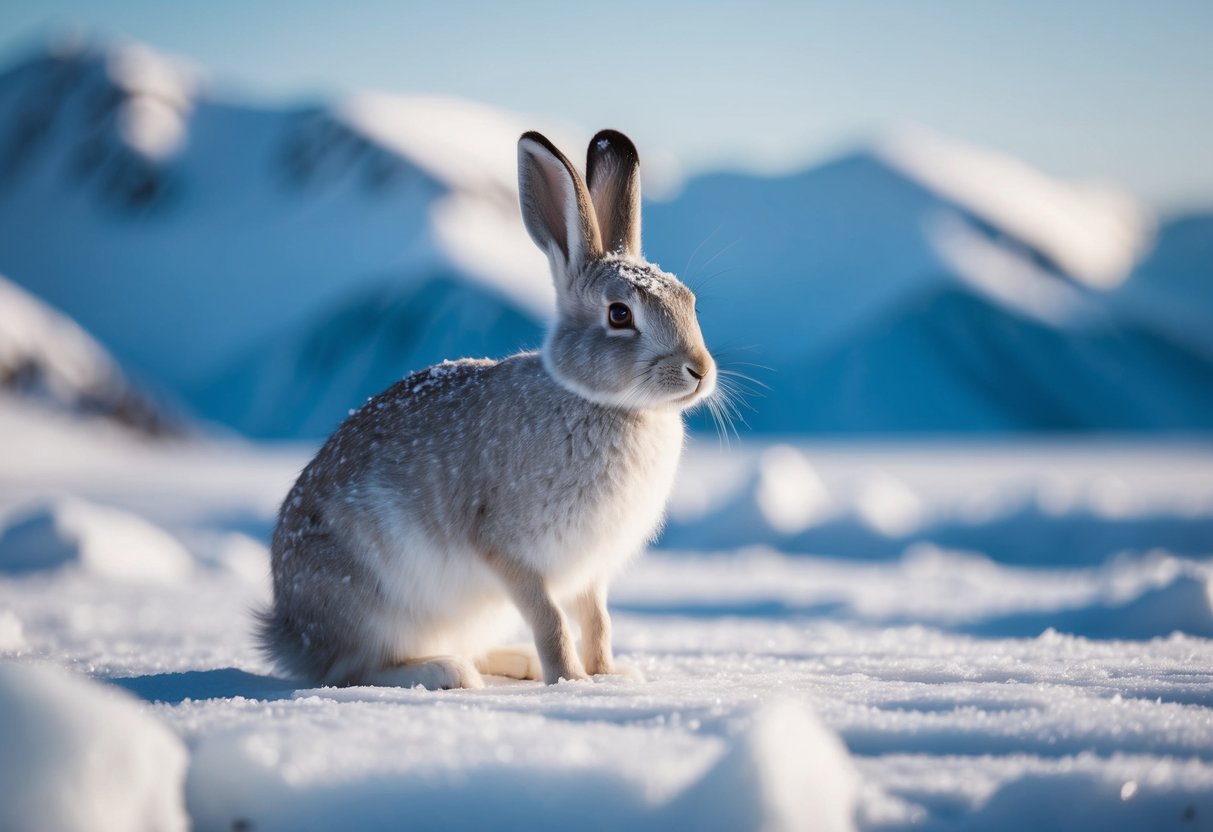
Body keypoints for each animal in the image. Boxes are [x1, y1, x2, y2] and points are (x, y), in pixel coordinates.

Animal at [256, 129, 715, 689]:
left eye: (689, 301)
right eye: (620, 315)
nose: (700, 370)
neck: (601, 402)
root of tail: (288, 631)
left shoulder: (589, 573)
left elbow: (597, 620)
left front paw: (609, 677)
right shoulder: (510, 553)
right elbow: (551, 619)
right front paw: (570, 681)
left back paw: (512, 662)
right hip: (373, 603)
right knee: (352, 669)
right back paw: (446, 672)